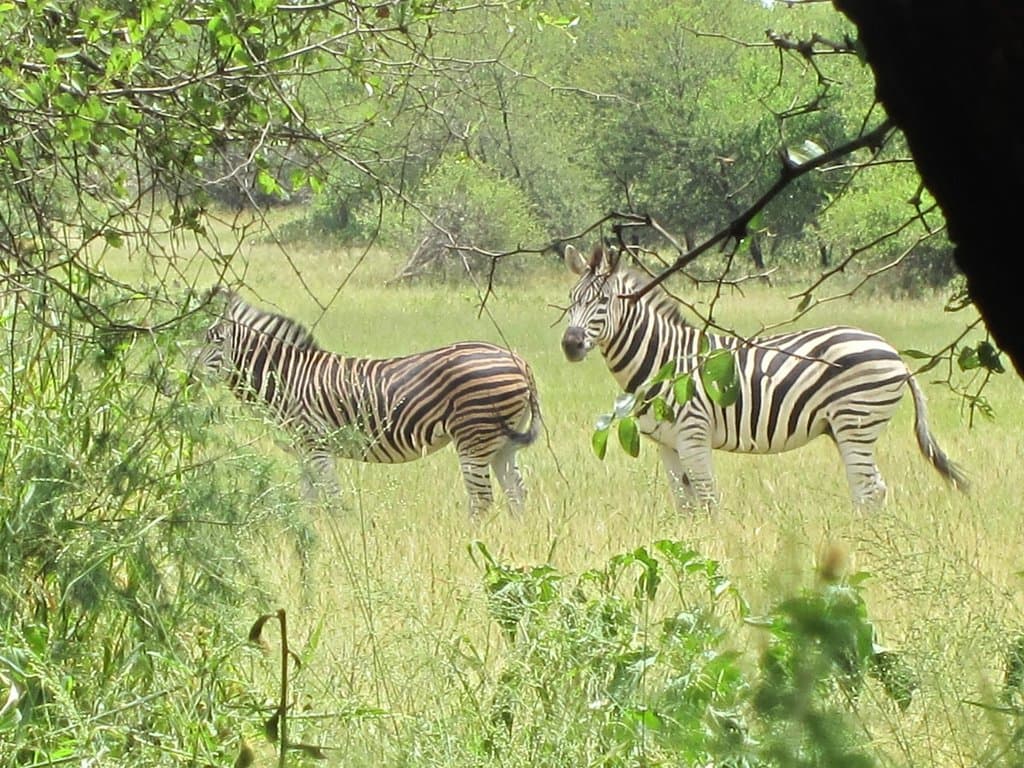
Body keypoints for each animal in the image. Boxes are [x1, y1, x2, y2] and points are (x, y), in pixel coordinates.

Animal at [194, 289, 542, 515]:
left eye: (215, 340)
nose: (184, 376)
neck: (288, 378)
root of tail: (519, 361)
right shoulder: (303, 449)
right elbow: (308, 501)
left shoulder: (317, 443)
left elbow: (332, 498)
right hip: (502, 443)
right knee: (517, 492)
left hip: (474, 437)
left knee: (482, 500)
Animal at [559, 244, 968, 508]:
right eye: (570, 300)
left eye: (603, 302)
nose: (570, 345)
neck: (664, 359)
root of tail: (894, 353)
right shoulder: (667, 444)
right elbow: (685, 505)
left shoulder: (694, 435)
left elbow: (707, 499)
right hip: (846, 428)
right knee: (868, 488)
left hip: (856, 422)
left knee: (870, 489)